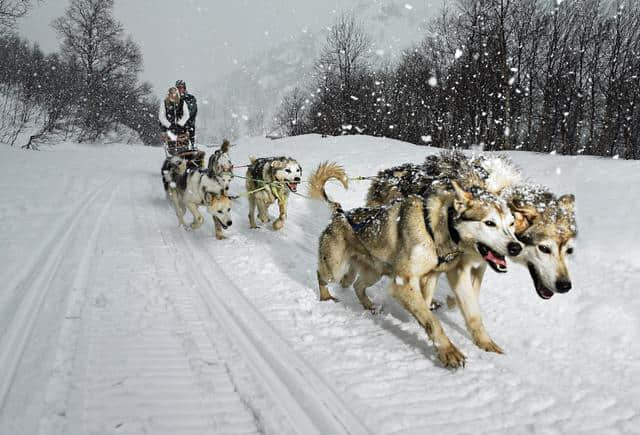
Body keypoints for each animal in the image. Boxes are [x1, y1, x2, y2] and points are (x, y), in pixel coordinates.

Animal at [312, 164, 524, 368]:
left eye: (511, 224)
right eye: (489, 223)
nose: (516, 247)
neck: (439, 228)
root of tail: (340, 214)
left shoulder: (439, 276)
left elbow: (467, 314)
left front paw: (486, 343)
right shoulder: (403, 282)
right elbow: (432, 321)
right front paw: (448, 351)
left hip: (375, 272)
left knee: (357, 285)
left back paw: (369, 306)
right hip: (335, 267)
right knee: (322, 275)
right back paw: (326, 297)